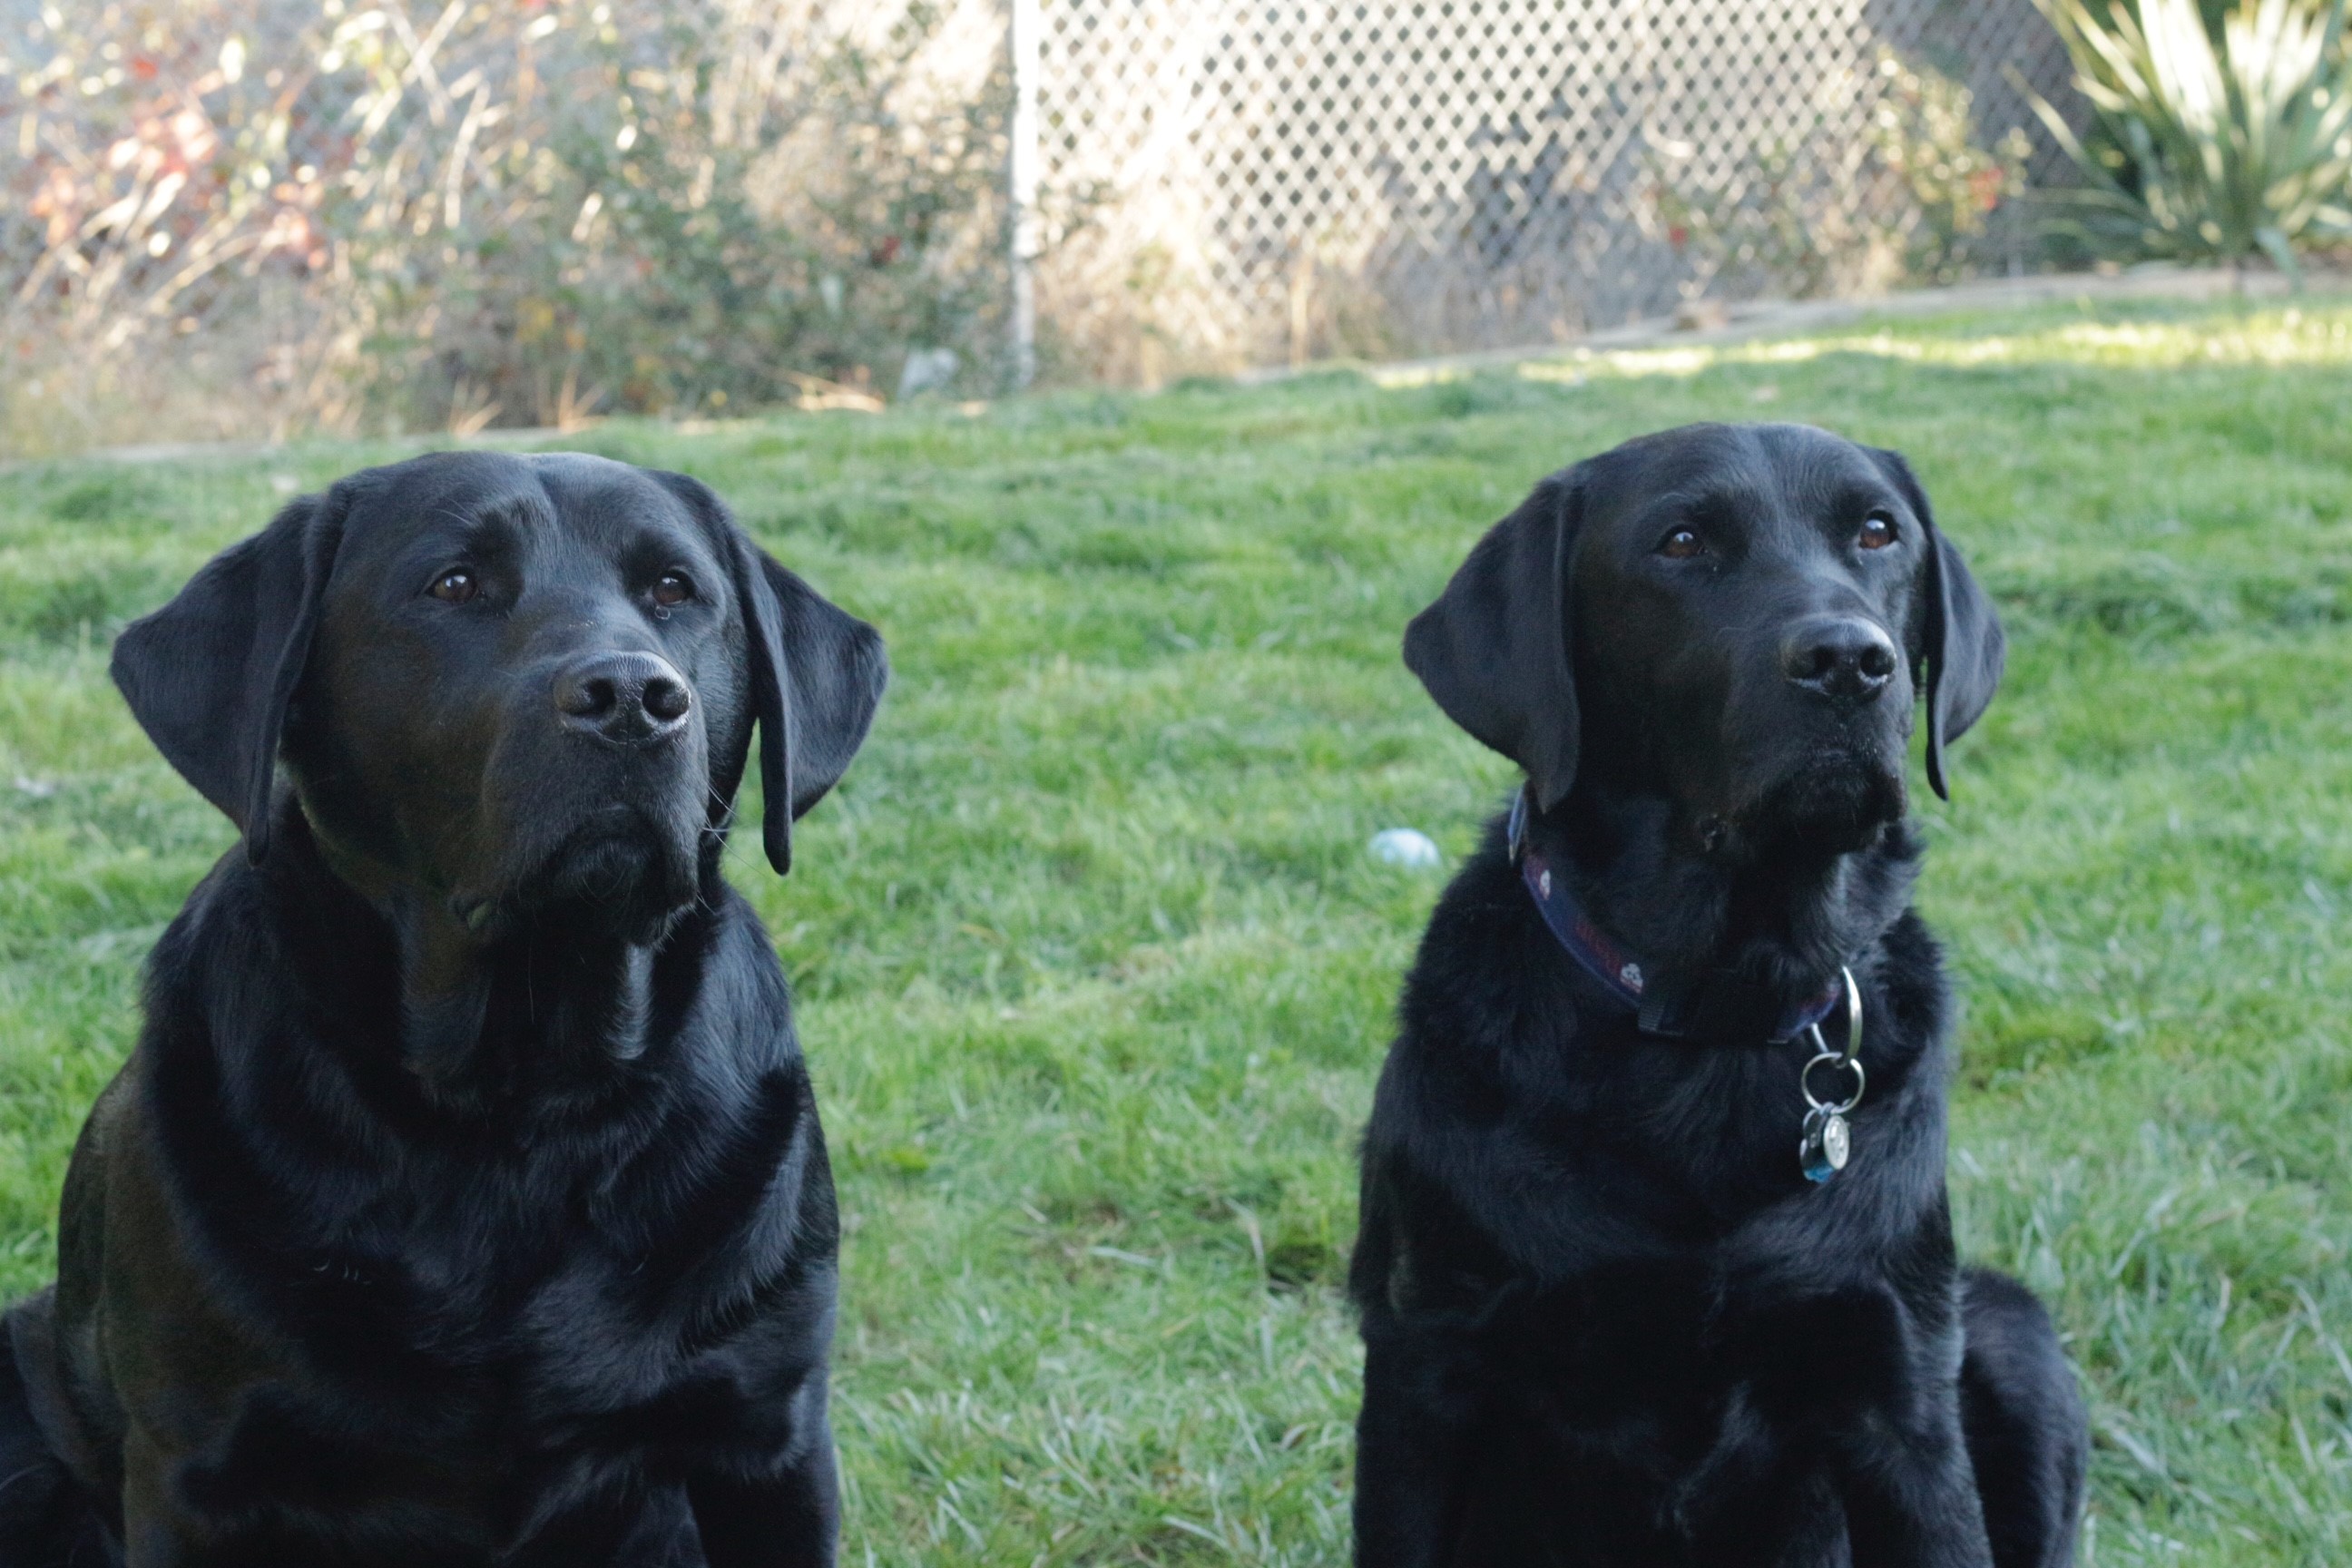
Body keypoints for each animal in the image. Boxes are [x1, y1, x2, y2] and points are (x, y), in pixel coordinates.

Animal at [0, 446, 884, 1561]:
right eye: (455, 584)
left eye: (675, 592)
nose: (634, 697)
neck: (518, 1104)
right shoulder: (190, 1472)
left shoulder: (769, 1441)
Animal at [1354, 425, 2088, 1568]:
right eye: (1683, 542)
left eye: (1878, 531)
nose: (1849, 661)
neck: (1720, 1012)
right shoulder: (1426, 1373)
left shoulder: (1898, 1381)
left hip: (2014, 1336)